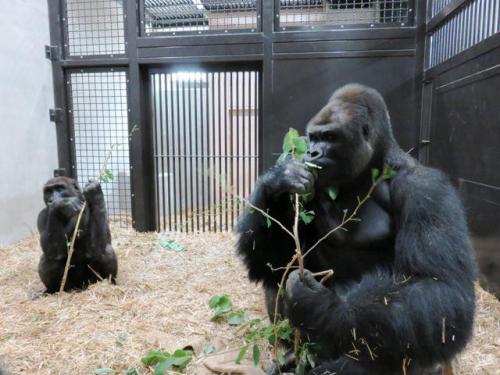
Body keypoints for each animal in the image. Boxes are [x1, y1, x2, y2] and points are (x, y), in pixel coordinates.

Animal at [236, 83, 478, 374]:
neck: (373, 167)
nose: (311, 153)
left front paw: (325, 306)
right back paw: (294, 356)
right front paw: (279, 182)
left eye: (330, 136)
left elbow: (440, 287)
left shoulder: (426, 188)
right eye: (312, 137)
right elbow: (275, 262)